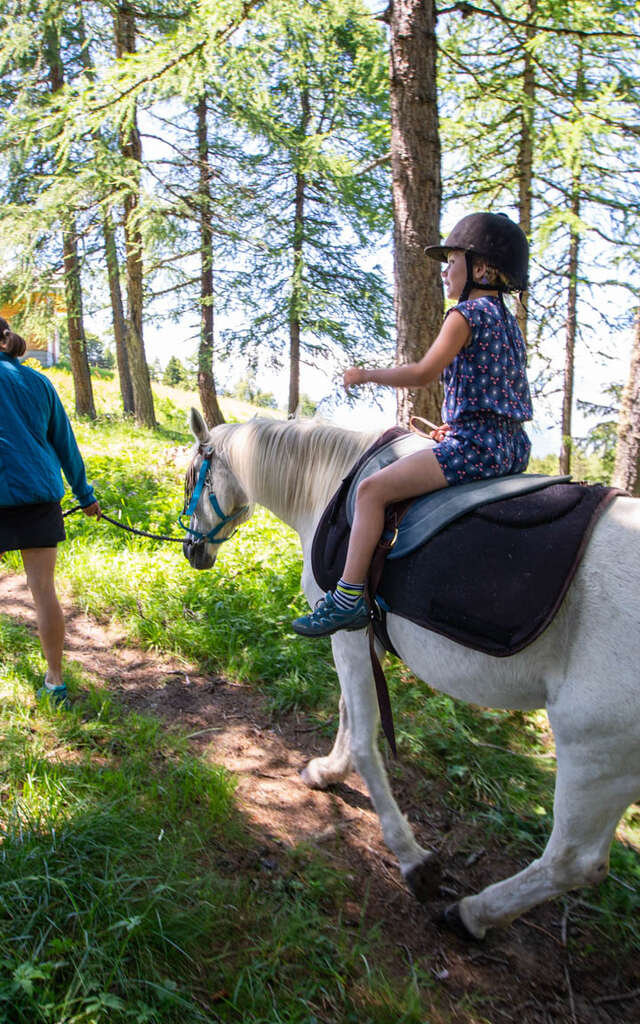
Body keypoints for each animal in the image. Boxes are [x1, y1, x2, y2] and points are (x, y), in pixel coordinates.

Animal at [181, 411, 638, 937]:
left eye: (192, 478)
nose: (192, 550)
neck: (328, 482)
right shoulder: (361, 640)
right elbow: (348, 715)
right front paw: (328, 771)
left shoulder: (346, 634)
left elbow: (364, 738)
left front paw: (412, 858)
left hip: (595, 750)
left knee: (573, 861)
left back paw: (472, 913)